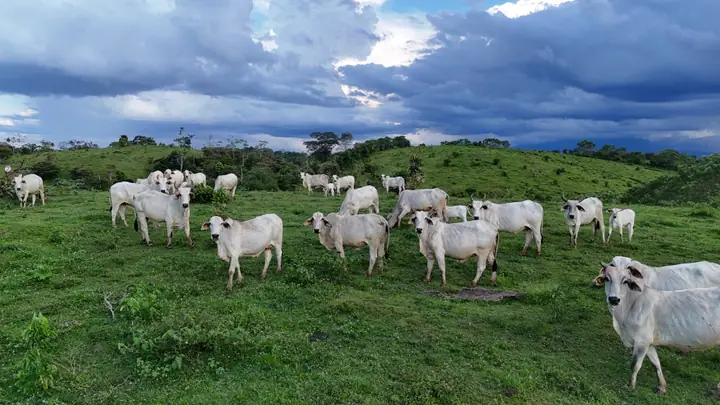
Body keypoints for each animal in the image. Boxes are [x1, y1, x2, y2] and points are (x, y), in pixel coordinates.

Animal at [599, 263, 720, 395]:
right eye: (607, 278)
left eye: (625, 281)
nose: (614, 299)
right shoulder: (649, 343)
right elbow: (656, 363)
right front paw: (661, 387)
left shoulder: (642, 341)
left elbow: (635, 365)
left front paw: (630, 386)